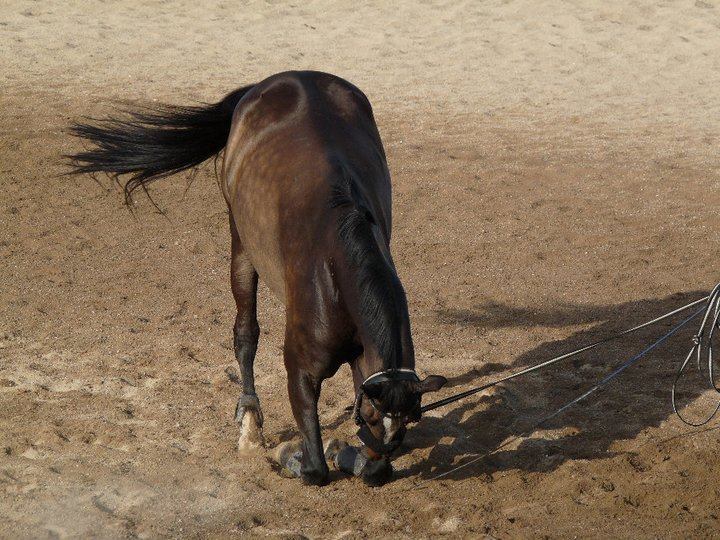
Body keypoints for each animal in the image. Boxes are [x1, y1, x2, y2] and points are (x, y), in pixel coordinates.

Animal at [68, 70, 447, 486]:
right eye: (372, 417)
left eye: (408, 423)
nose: (380, 444)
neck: (335, 271)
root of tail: (289, 77)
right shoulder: (300, 372)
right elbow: (315, 467)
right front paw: (297, 454)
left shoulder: (368, 369)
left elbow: (375, 470)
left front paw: (352, 455)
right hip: (241, 244)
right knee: (245, 333)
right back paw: (250, 419)